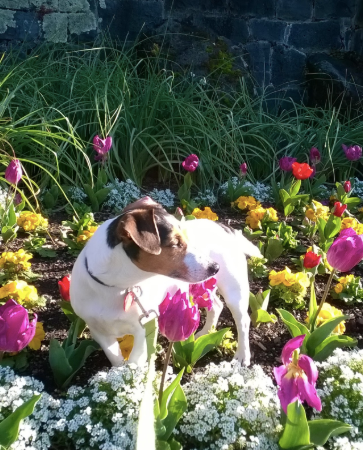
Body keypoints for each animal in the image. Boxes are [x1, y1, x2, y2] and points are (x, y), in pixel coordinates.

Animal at [69, 199, 260, 368]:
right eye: (175, 243)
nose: (215, 267)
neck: (117, 287)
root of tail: (224, 228)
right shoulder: (98, 331)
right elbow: (115, 358)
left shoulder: (144, 328)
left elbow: (136, 361)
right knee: (217, 306)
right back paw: (204, 334)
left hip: (234, 290)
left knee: (243, 320)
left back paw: (242, 355)